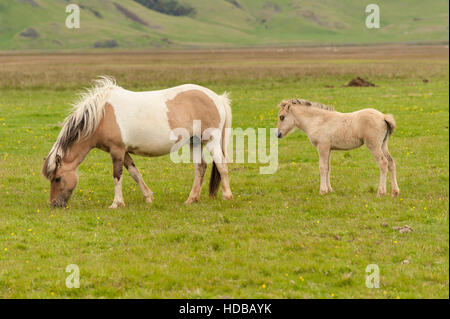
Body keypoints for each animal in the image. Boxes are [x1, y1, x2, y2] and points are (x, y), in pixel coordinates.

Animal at [42, 76, 234, 209]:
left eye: (58, 178)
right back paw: (191, 199)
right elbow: (135, 173)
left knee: (221, 165)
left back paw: (227, 196)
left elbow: (117, 176)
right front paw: (148, 197)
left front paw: (116, 203)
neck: (101, 116)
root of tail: (217, 98)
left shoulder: (117, 151)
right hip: (195, 142)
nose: (54, 205)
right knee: (200, 167)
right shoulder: (124, 151)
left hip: (211, 140)